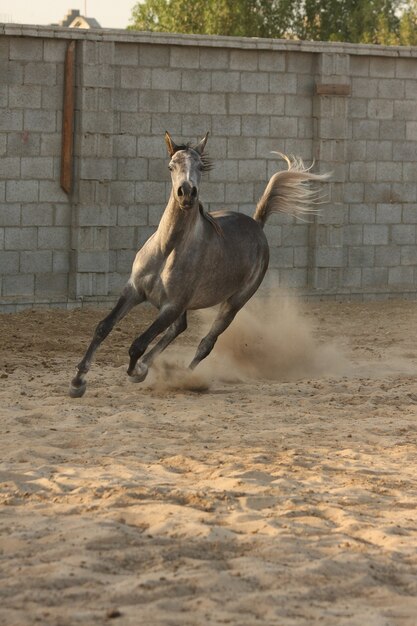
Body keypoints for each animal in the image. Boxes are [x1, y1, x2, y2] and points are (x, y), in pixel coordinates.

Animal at [69, 131, 328, 394]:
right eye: (171, 166)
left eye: (200, 167)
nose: (186, 193)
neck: (167, 249)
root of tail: (257, 224)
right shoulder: (134, 290)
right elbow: (104, 327)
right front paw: (78, 381)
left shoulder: (172, 305)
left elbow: (138, 344)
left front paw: (135, 372)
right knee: (179, 328)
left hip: (234, 302)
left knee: (206, 343)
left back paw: (180, 375)